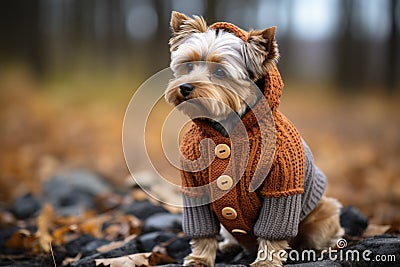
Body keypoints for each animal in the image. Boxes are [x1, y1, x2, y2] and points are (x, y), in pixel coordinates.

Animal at [164, 11, 342, 266]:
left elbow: (273, 230)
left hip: (324, 210)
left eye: (220, 72)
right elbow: (202, 231)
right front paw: (200, 258)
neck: (227, 125)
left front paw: (266, 261)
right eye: (188, 65)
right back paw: (229, 245)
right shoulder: (194, 187)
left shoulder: (282, 184)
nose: (185, 87)